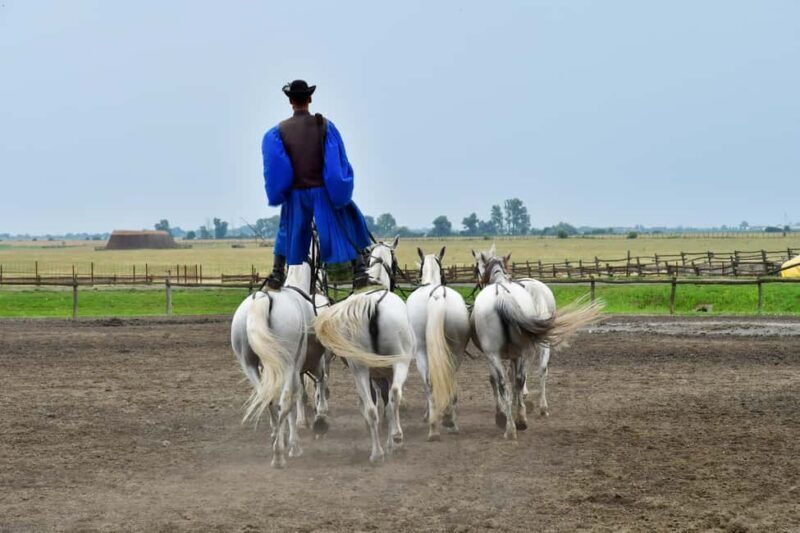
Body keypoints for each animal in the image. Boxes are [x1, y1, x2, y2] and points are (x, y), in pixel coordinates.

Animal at [230, 261, 331, 468]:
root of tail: (264, 298)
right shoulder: (312, 366)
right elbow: (313, 391)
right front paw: (307, 432)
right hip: (289, 366)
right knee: (285, 401)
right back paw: (279, 454)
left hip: (250, 366)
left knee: (269, 399)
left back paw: (277, 441)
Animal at [314, 237, 414, 464]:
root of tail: (372, 306)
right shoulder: (383, 373)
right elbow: (387, 402)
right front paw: (392, 438)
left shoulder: (375, 373)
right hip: (398, 362)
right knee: (393, 396)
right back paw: (395, 440)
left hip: (360, 368)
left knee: (371, 409)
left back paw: (377, 453)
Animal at [406, 246, 470, 441]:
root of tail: (436, 296)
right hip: (456, 350)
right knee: (448, 379)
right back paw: (446, 422)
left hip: (422, 351)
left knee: (430, 383)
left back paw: (437, 426)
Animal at [471, 244, 603, 440]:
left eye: (476, 268)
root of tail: (503, 296)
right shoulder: (512, 354)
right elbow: (513, 378)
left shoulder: (497, 355)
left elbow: (496, 379)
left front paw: (501, 411)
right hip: (527, 348)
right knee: (534, 372)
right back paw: (529, 415)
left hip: (500, 353)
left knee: (507, 381)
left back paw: (513, 423)